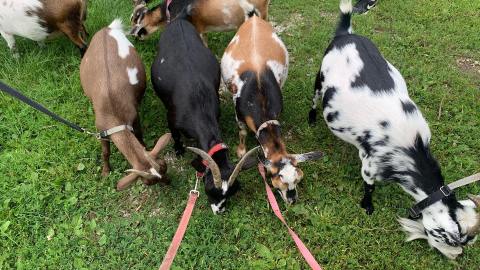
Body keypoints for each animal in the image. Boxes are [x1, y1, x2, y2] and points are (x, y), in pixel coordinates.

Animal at [78, 19, 169, 190]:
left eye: (164, 166)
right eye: (147, 183)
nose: (169, 182)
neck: (114, 113)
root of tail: (107, 29)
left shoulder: (134, 116)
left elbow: (139, 137)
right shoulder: (101, 129)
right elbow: (105, 152)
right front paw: (106, 171)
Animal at [151, 10, 256, 213]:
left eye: (231, 193)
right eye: (210, 189)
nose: (219, 210)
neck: (198, 105)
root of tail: (178, 21)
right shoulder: (172, 118)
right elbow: (175, 135)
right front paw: (179, 150)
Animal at [221, 2, 322, 205]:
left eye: (297, 179)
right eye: (277, 180)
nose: (292, 200)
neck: (259, 97)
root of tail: (253, 18)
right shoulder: (238, 111)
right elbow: (242, 131)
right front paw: (241, 151)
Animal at [308, 0, 480, 258]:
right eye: (455, 240)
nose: (456, 256)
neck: (412, 148)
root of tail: (345, 34)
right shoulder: (370, 164)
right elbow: (369, 186)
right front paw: (367, 207)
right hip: (320, 80)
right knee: (314, 99)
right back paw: (310, 119)